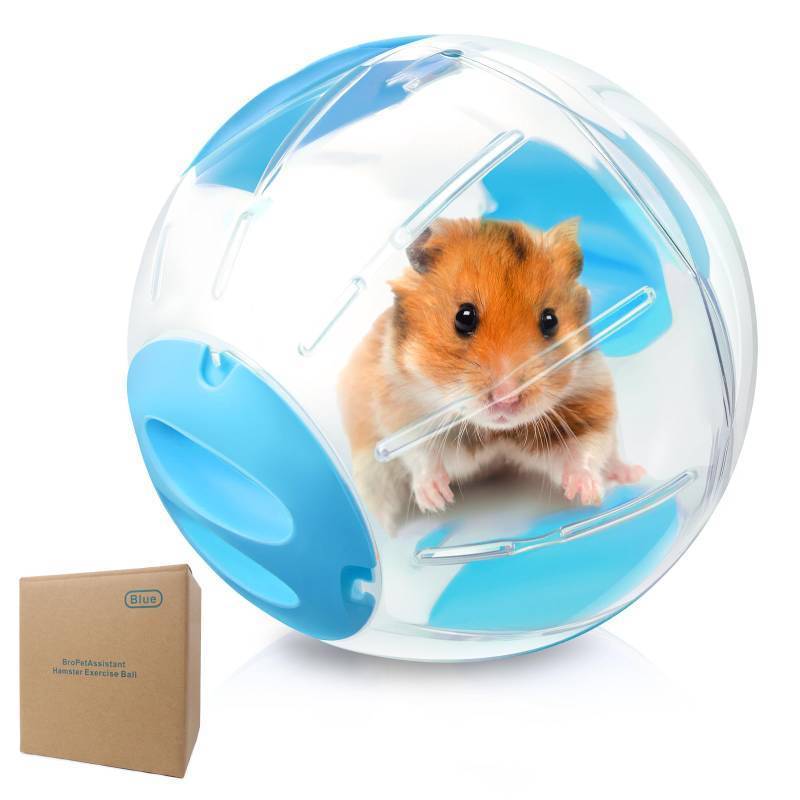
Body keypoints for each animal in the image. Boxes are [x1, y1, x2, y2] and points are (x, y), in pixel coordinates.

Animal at [337, 217, 644, 531]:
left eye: (550, 320)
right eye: (464, 316)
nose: (506, 399)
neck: (496, 432)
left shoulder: (589, 399)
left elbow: (584, 448)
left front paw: (589, 495)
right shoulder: (400, 410)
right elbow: (421, 455)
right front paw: (437, 501)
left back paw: (632, 473)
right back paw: (391, 530)